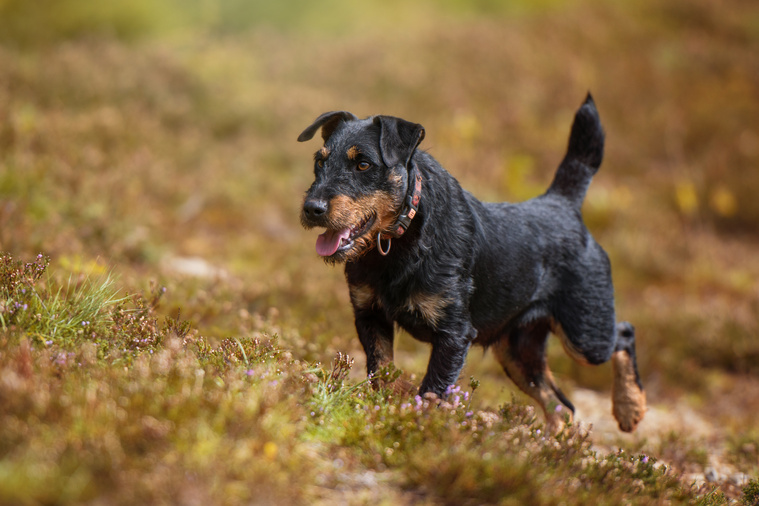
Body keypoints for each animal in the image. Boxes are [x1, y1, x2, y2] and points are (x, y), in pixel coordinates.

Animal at [296, 95, 648, 430]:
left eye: (363, 164)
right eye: (319, 161)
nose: (311, 208)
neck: (401, 239)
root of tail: (563, 203)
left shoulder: (454, 334)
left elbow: (433, 390)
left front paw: (418, 427)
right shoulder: (370, 317)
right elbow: (381, 372)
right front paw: (382, 412)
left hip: (585, 334)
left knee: (624, 333)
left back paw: (629, 408)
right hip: (518, 351)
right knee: (561, 404)